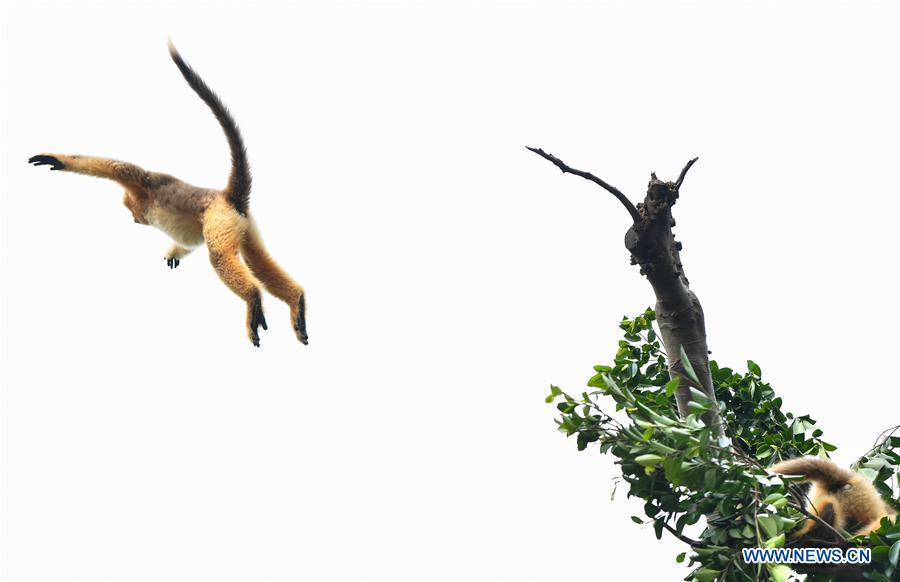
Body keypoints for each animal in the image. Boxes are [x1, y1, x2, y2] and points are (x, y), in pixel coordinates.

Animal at [29, 41, 307, 347]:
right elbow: (189, 243)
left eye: (132, 212)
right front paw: (175, 251)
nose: (135, 220)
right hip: (243, 223)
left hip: (219, 219)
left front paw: (57, 160)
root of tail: (226, 197)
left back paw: (253, 298)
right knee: (257, 259)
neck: (144, 199)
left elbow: (115, 167)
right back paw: (296, 301)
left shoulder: (145, 182)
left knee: (221, 257)